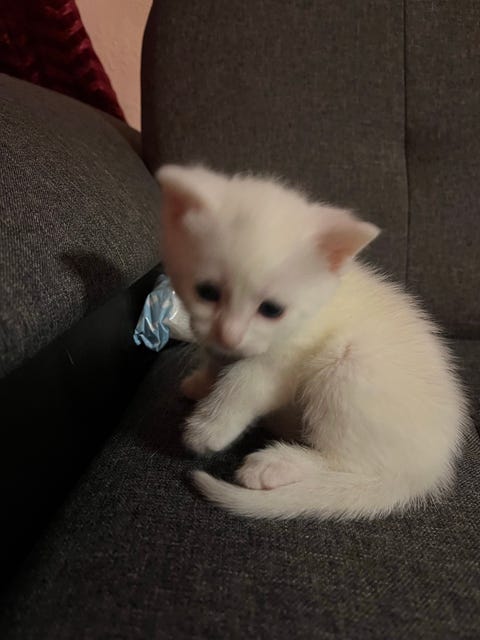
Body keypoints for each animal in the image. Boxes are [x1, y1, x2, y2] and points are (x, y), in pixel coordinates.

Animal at [156, 164, 467, 520]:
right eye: (207, 292)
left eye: (272, 310)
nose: (229, 335)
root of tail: (430, 468)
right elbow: (216, 362)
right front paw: (200, 383)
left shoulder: (282, 362)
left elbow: (242, 385)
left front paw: (208, 428)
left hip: (347, 368)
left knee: (347, 463)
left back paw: (278, 463)